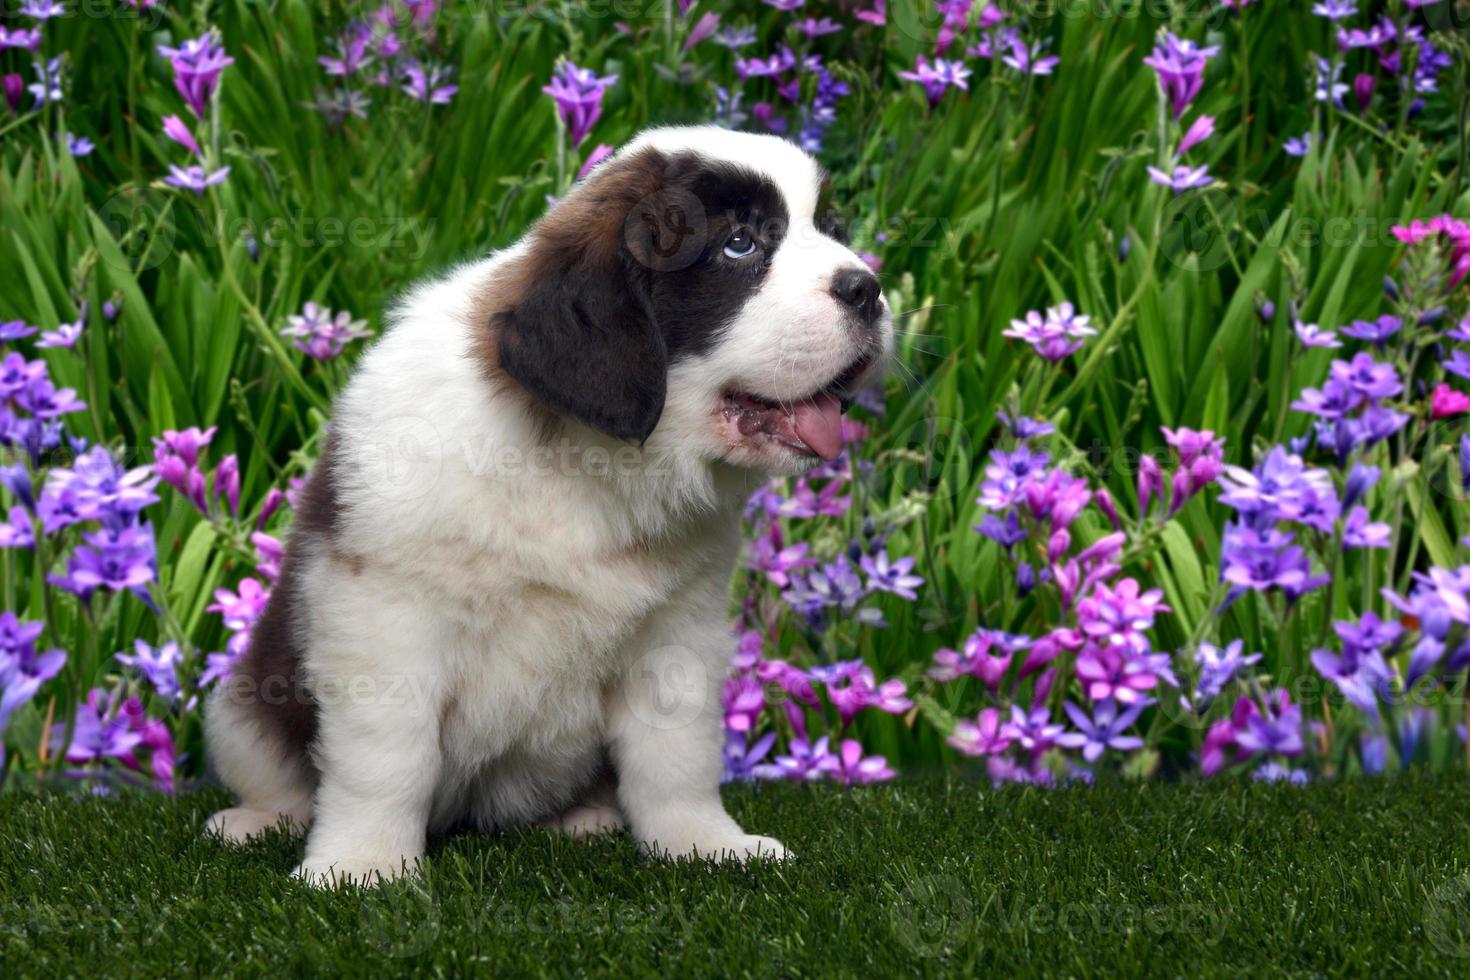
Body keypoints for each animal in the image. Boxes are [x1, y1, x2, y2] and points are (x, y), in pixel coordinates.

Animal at [204, 124, 893, 887]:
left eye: (831, 231)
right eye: (740, 245)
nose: (869, 288)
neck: (589, 462)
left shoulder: (678, 629)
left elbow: (676, 755)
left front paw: (705, 844)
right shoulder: (384, 615)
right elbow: (386, 757)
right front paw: (361, 864)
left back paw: (585, 819)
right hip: (239, 705)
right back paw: (257, 820)